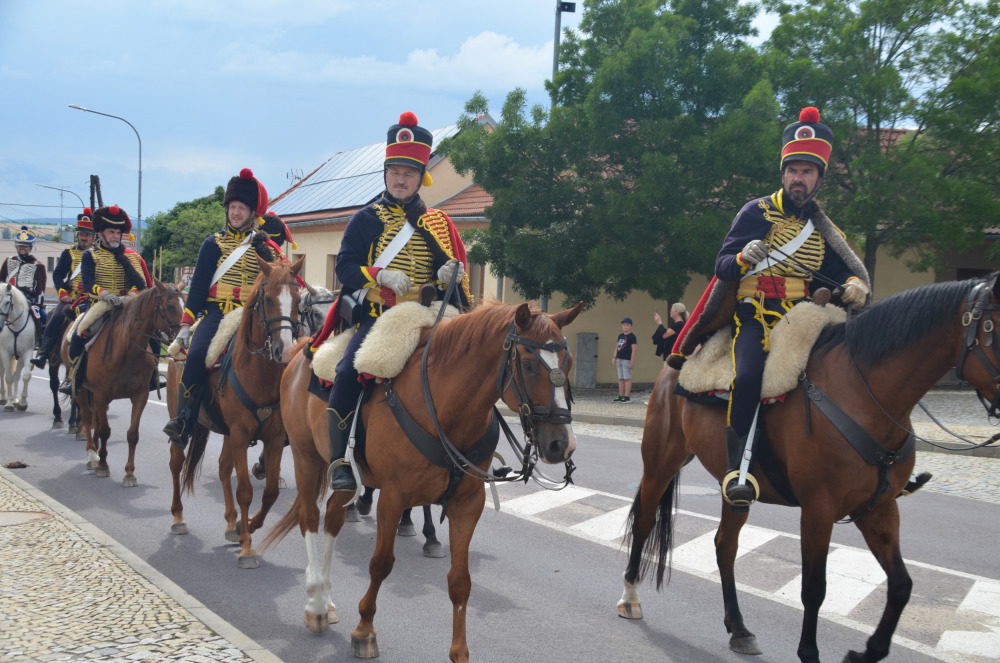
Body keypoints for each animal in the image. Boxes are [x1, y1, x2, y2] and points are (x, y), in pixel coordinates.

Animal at [0, 283, 37, 412]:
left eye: (7, 302)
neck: (16, 325)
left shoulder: (27, 352)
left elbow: (25, 376)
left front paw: (22, 403)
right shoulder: (5, 352)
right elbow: (8, 377)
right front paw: (9, 404)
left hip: (19, 357)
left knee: (16, 374)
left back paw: (15, 399)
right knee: (2, 372)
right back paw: (3, 397)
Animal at [59, 280, 184, 486]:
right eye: (170, 306)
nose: (182, 339)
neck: (126, 349)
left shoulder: (140, 395)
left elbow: (132, 434)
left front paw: (129, 473)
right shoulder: (101, 394)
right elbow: (105, 431)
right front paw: (102, 465)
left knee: (95, 420)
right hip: (82, 390)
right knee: (87, 418)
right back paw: (92, 456)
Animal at [168, 256, 304, 569]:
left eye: (298, 300)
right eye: (268, 299)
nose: (285, 351)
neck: (258, 372)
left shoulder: (273, 439)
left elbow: (270, 492)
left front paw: (248, 526)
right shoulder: (242, 436)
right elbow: (245, 490)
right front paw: (247, 550)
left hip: (228, 433)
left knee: (222, 467)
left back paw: (232, 524)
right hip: (184, 425)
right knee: (176, 463)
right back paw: (178, 517)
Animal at [263, 299, 582, 662]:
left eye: (568, 362)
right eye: (528, 365)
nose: (561, 444)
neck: (446, 408)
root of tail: (305, 348)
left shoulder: (467, 504)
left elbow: (460, 580)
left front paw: (459, 652)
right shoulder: (392, 498)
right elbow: (380, 564)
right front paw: (364, 630)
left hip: (344, 476)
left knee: (332, 516)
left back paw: (326, 601)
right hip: (306, 457)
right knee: (310, 518)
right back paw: (316, 603)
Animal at [617, 273, 1000, 663]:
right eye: (995, 329)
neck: (864, 394)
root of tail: (675, 364)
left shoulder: (878, 508)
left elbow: (901, 585)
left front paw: (866, 652)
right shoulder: (819, 509)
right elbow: (814, 587)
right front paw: (810, 652)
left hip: (734, 490)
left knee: (725, 546)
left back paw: (739, 629)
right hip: (661, 462)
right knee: (645, 521)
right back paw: (630, 596)